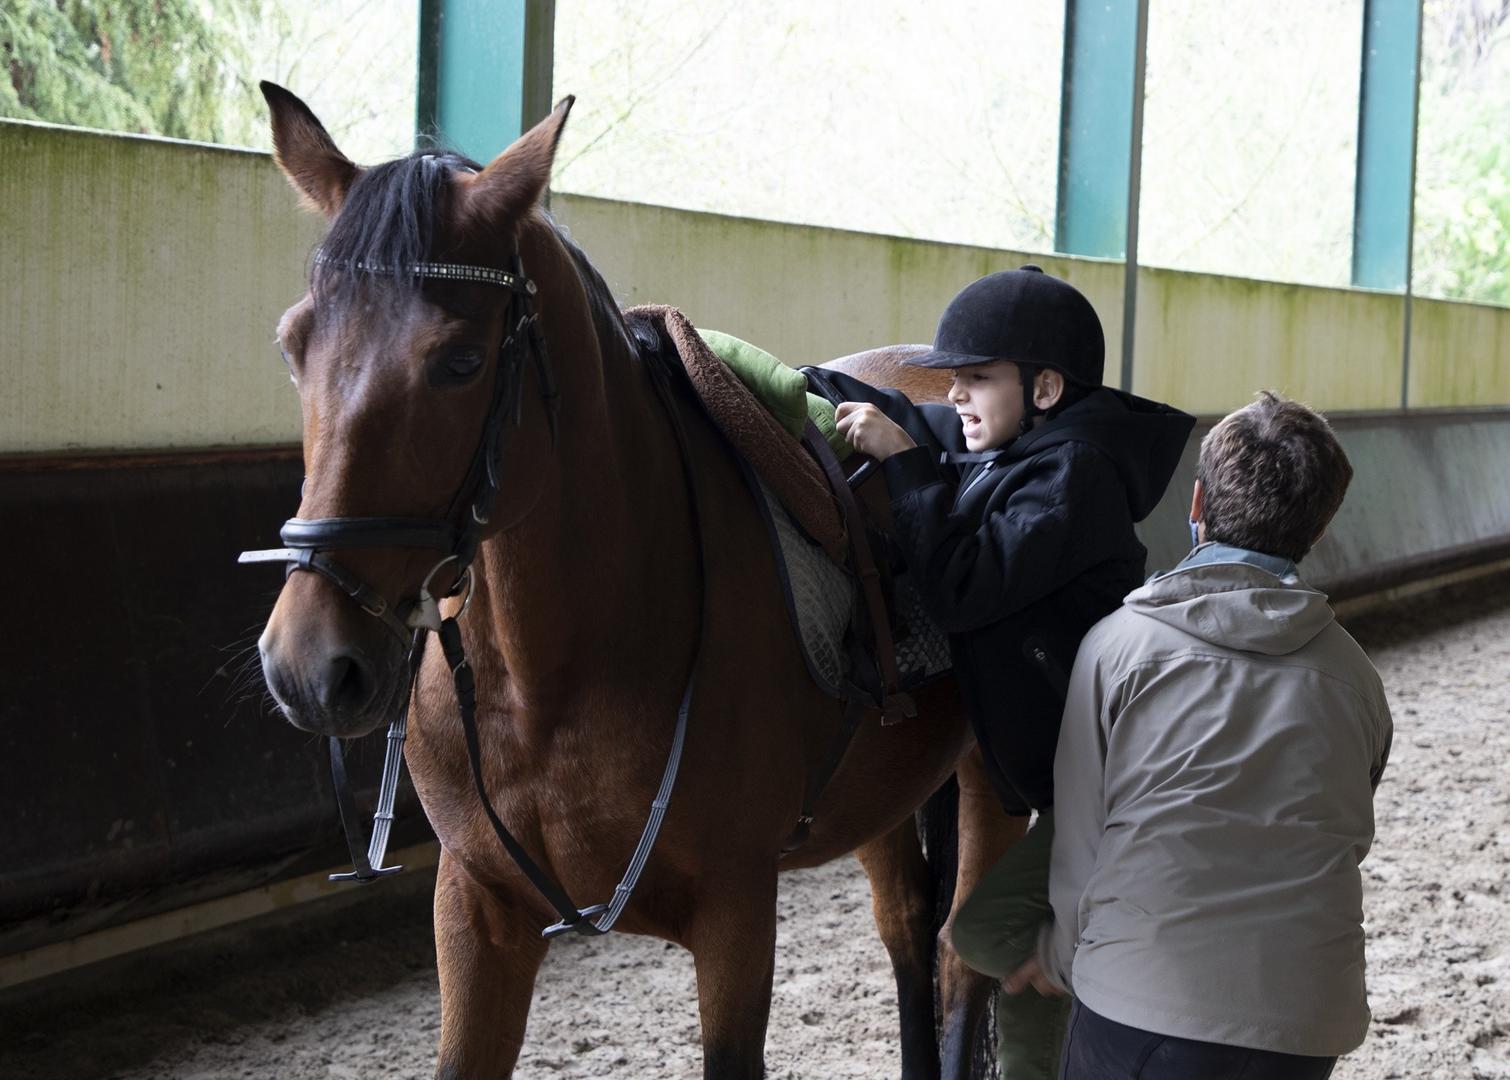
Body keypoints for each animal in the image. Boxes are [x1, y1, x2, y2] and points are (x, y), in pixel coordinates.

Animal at [253, 86, 1020, 1080]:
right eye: (291, 346)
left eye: (460, 362)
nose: (311, 664)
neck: (548, 679)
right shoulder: (474, 912)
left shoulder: (736, 915)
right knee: (908, 931)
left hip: (991, 779)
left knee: (965, 966)